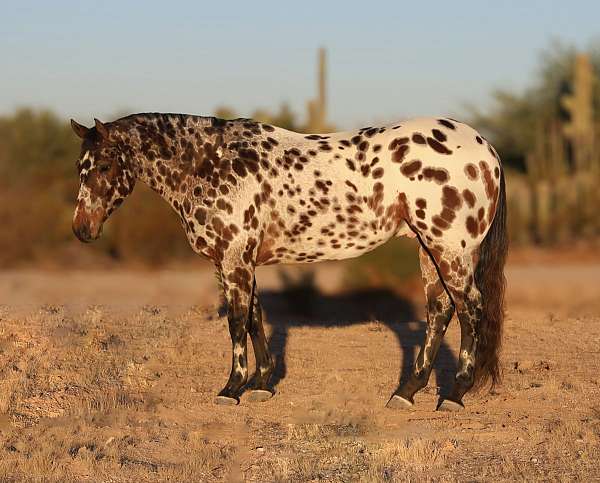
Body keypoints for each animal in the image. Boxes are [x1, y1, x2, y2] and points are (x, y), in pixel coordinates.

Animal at [69, 114, 506, 412]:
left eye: (105, 165)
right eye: (80, 168)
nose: (82, 229)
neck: (211, 162)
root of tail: (485, 148)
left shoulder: (234, 259)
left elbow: (237, 322)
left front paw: (232, 388)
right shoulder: (237, 262)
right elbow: (255, 317)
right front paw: (262, 384)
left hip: (449, 249)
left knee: (470, 308)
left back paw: (454, 394)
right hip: (427, 248)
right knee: (439, 310)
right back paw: (406, 392)